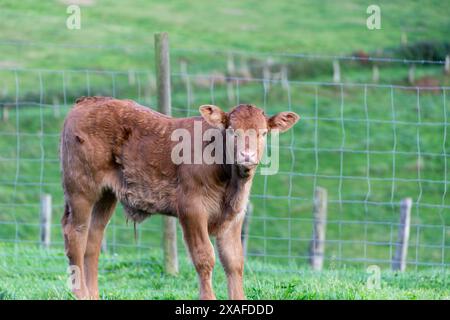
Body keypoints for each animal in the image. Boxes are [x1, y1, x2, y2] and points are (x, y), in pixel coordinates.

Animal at [59, 97, 298, 300]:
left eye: (264, 133)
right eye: (232, 131)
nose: (246, 156)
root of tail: (87, 102)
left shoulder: (235, 215)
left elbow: (234, 261)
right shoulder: (192, 209)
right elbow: (204, 257)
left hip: (106, 195)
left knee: (93, 238)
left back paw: (93, 294)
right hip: (81, 188)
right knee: (76, 235)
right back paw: (81, 293)